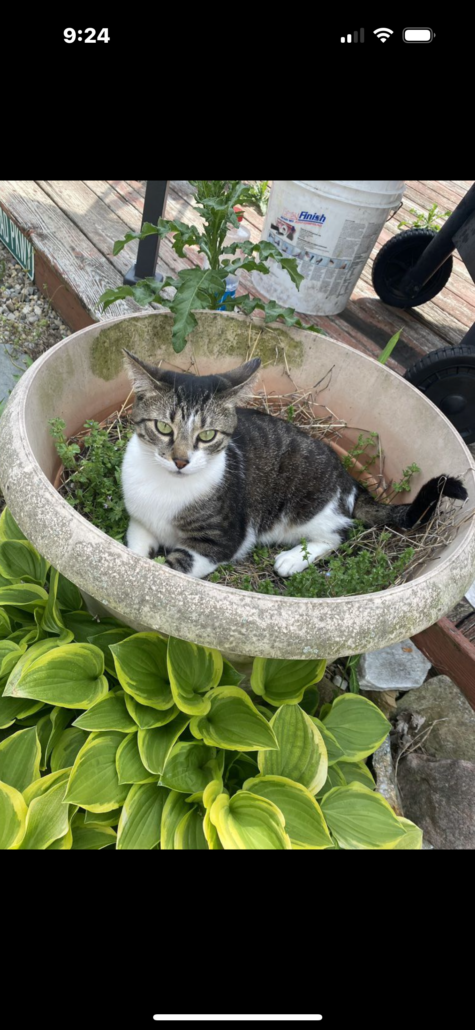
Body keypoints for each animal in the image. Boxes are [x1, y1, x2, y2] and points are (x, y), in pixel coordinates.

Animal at [121, 350, 468, 579]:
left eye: (207, 435)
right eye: (163, 427)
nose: (181, 460)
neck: (167, 487)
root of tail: (349, 483)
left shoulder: (219, 542)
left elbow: (174, 567)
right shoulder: (140, 520)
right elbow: (134, 548)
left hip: (307, 510)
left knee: (338, 533)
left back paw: (292, 559)